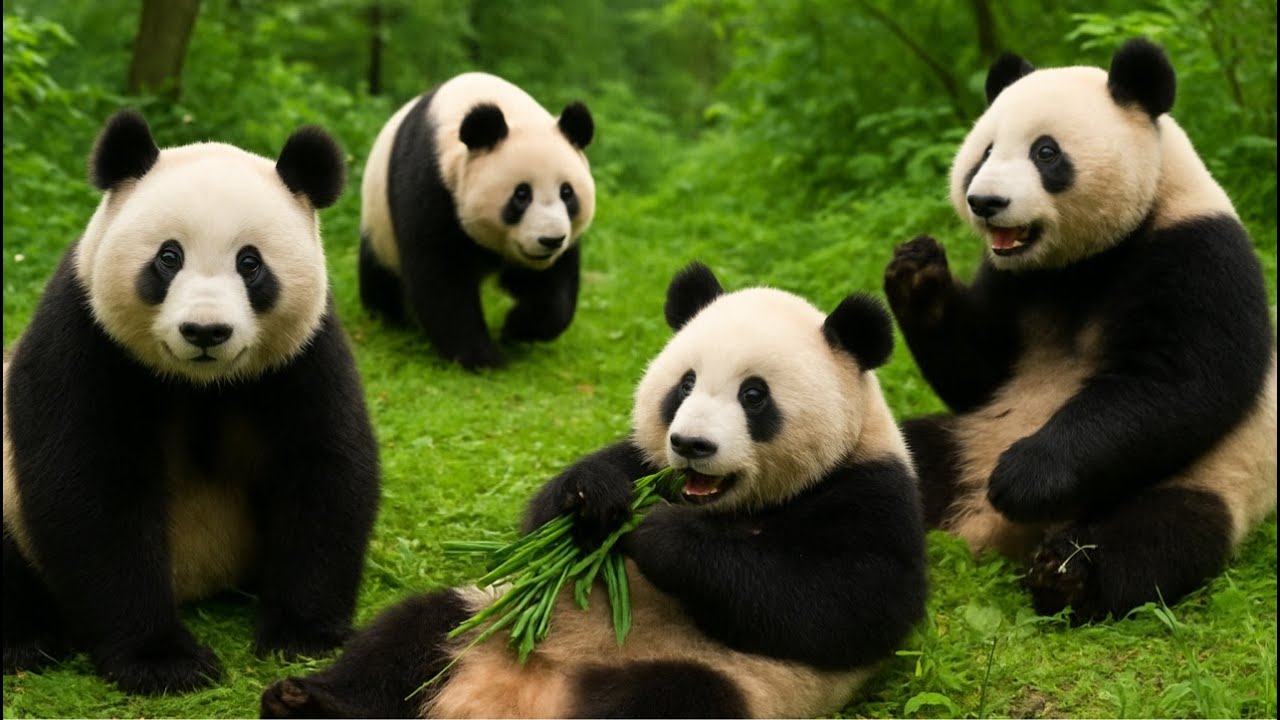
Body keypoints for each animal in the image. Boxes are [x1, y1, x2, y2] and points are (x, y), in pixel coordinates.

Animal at [2, 110, 381, 694]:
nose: (206, 331)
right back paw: (24, 641)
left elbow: (323, 470)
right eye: (168, 257)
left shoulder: (304, 355)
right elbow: (87, 487)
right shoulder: (83, 335)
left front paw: (303, 633)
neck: (199, 383)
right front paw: (163, 660)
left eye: (250, 263)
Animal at [260, 262, 927, 718]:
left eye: (754, 395)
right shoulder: (640, 456)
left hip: (710, 679)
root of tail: (504, 696)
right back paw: (306, 701)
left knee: (667, 706)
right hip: (488, 612)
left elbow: (846, 603)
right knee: (411, 633)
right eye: (684, 385)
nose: (691, 445)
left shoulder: (872, 490)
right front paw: (595, 500)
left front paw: (662, 537)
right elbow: (544, 517)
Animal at [359, 72, 596, 370]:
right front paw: (481, 357)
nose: (550, 240)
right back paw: (386, 316)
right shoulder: (431, 185)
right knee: (379, 271)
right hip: (378, 222)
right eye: (521, 194)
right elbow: (441, 276)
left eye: (567, 192)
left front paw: (517, 327)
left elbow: (554, 293)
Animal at [883, 38, 1277, 623]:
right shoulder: (1013, 278)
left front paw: (1025, 479)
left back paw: (1067, 575)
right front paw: (917, 272)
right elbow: (979, 373)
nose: (986, 203)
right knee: (910, 455)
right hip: (968, 438)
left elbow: (1177, 382)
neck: (1080, 262)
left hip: (1212, 478)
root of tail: (987, 531)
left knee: (1159, 534)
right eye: (985, 152)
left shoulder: (1196, 251)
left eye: (1046, 153)